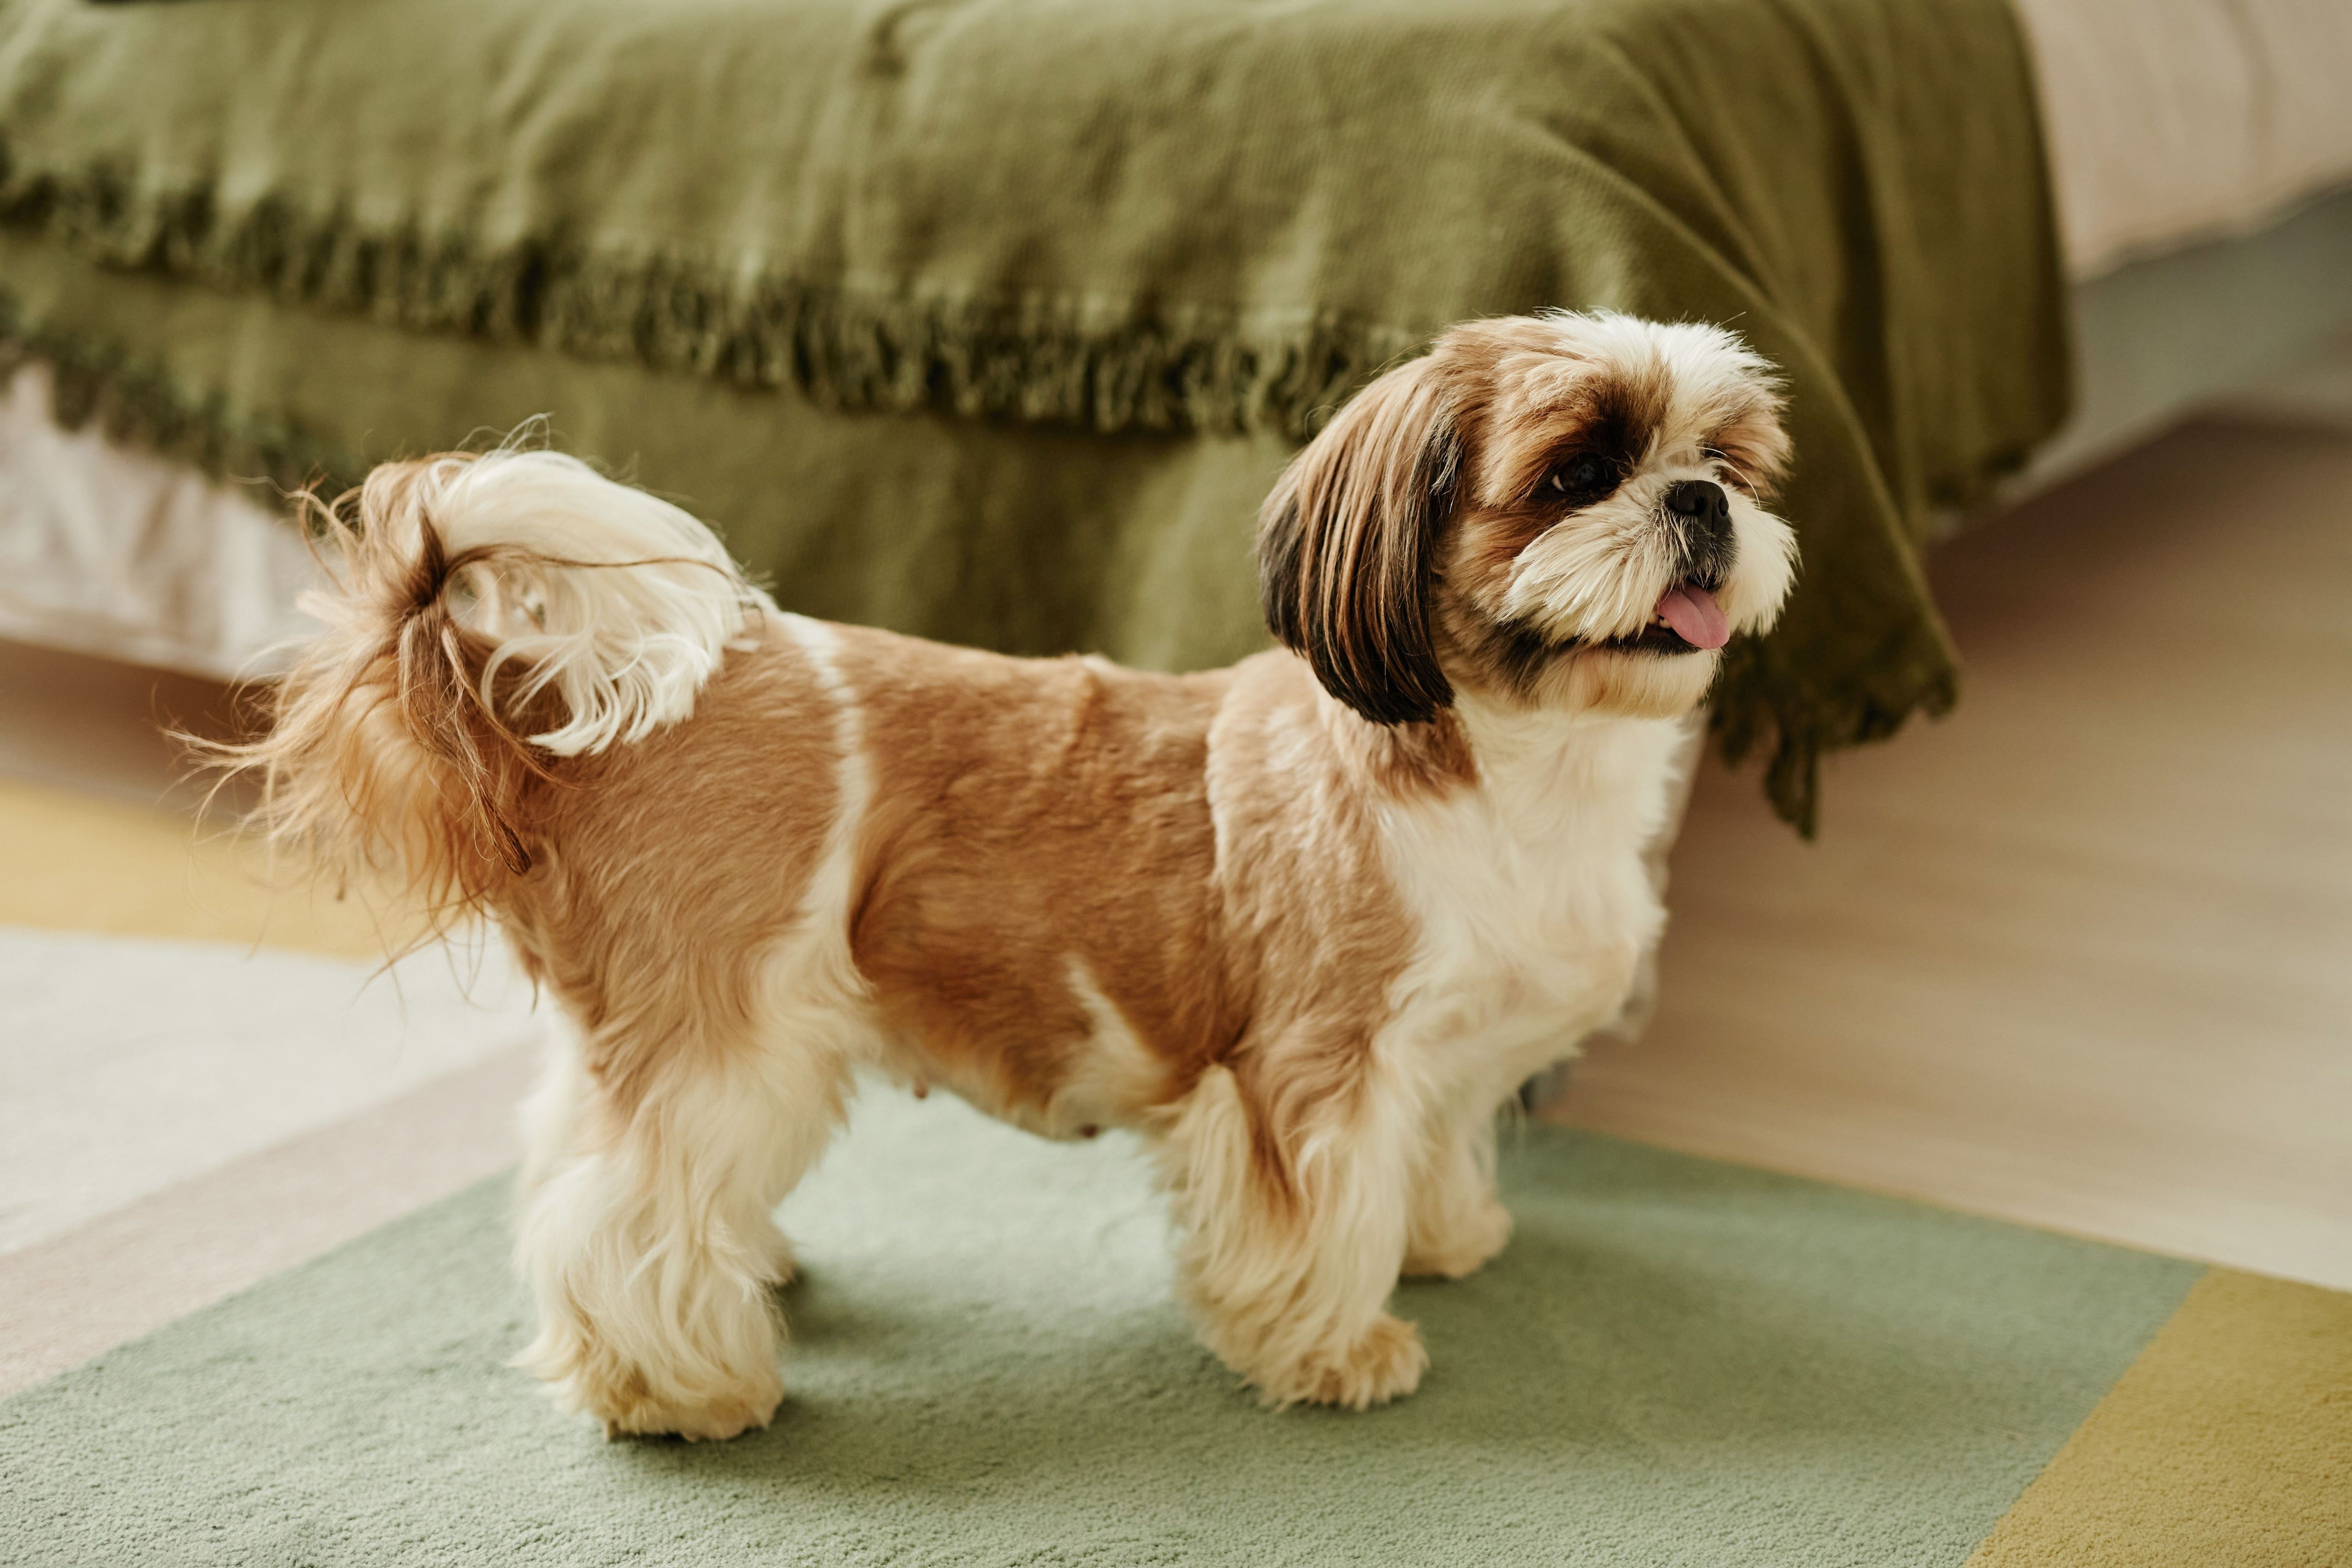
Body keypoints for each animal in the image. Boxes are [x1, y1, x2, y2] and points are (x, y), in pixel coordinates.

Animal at [229, 313, 1787, 1438]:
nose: (1696, 502)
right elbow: (1317, 1211)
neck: (1516, 768)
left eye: (1732, 459)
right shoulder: (1315, 1071)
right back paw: (680, 1387)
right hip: (731, 1034)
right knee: (623, 1214)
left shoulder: (1448, 1061)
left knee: (575, 1147)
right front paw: (1337, 1345)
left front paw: (1445, 1240)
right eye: (1577, 472)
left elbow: (1432, 1157)